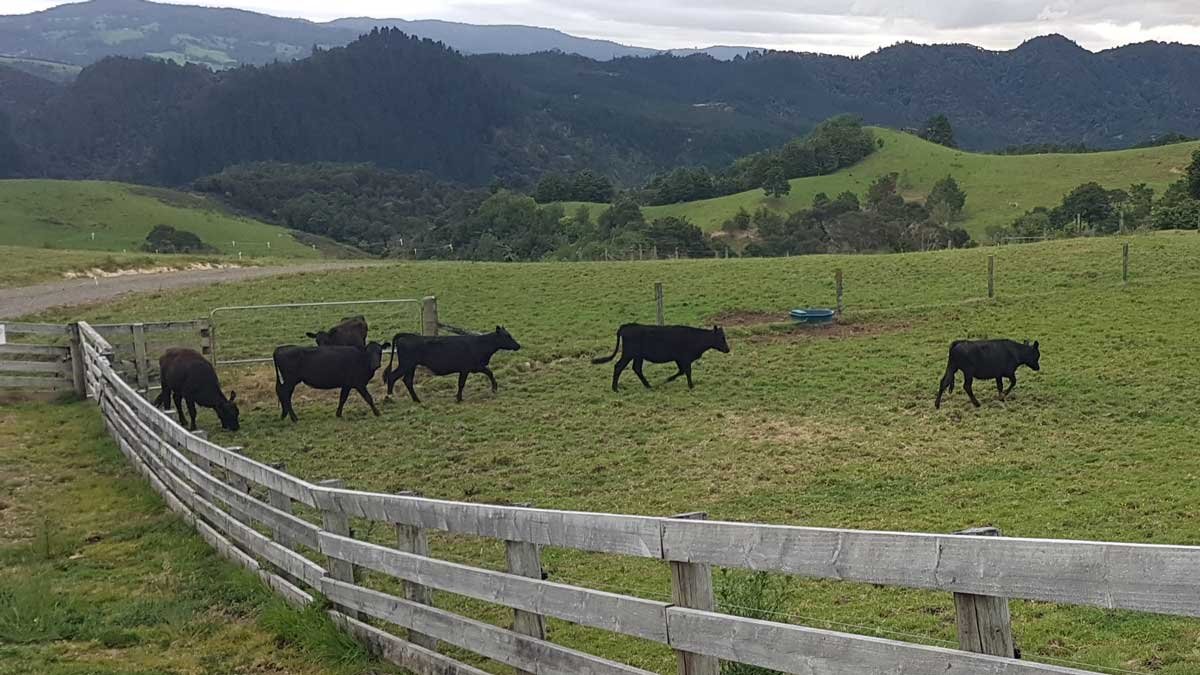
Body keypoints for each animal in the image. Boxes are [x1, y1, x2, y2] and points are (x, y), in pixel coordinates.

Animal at [382, 327, 521, 403]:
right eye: (507, 336)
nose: (518, 346)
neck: (480, 344)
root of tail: (407, 336)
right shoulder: (467, 368)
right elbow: (462, 383)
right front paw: (459, 398)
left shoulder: (475, 367)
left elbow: (489, 372)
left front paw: (494, 388)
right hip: (406, 365)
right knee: (392, 377)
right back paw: (389, 397)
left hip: (411, 366)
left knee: (407, 380)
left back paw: (417, 400)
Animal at [592, 324, 730, 392]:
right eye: (721, 337)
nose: (728, 349)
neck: (695, 338)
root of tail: (627, 326)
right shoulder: (684, 358)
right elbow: (687, 371)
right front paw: (691, 386)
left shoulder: (679, 359)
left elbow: (682, 371)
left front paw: (668, 379)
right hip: (628, 354)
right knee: (618, 367)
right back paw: (615, 389)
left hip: (638, 356)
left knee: (636, 368)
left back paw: (648, 386)